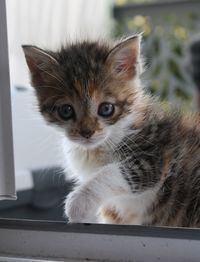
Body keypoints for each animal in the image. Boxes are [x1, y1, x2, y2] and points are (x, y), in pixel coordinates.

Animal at [22, 34, 200, 226]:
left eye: (106, 109)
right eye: (66, 110)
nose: (87, 132)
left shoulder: (156, 154)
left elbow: (113, 172)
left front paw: (78, 203)